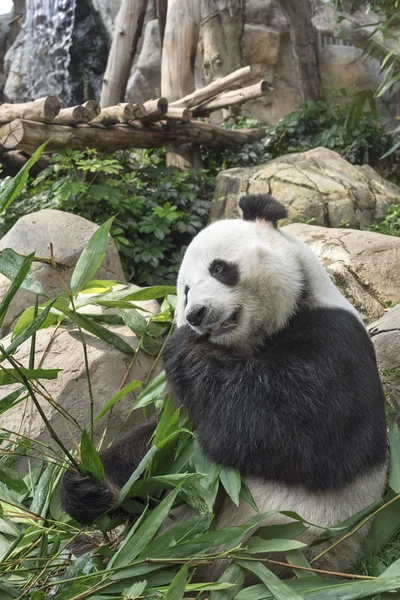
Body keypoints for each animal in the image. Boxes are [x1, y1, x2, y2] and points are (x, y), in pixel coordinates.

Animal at [61, 195, 388, 576]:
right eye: (185, 292)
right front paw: (87, 485)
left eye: (219, 268)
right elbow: (159, 445)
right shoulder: (181, 412)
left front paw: (185, 347)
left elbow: (291, 429)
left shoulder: (335, 341)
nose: (196, 315)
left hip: (282, 549)